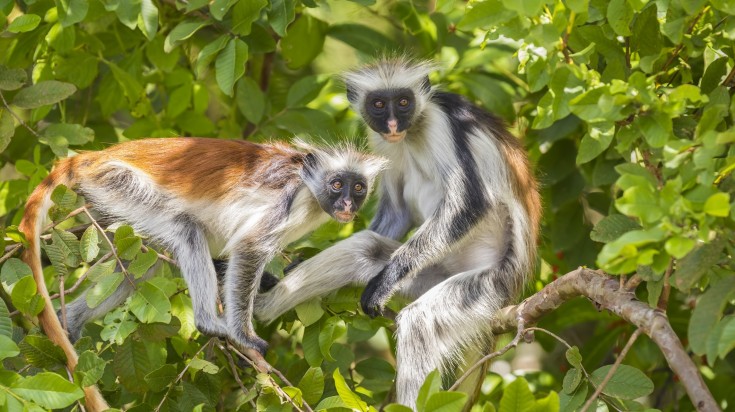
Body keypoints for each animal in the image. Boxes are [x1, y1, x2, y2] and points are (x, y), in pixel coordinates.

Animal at [18, 137, 386, 410]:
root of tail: (93, 157)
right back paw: (209, 322)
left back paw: (70, 322)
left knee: (143, 264)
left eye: (357, 188)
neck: (308, 185)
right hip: (116, 182)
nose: (347, 205)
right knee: (186, 229)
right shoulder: (287, 199)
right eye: (336, 184)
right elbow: (248, 248)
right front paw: (244, 337)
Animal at [256, 58, 544, 408]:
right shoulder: (381, 140)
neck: (412, 132)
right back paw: (258, 306)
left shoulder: (441, 123)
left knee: (420, 322)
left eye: (404, 102)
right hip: (430, 274)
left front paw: (385, 282)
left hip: (489, 283)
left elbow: (471, 202)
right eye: (379, 105)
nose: (393, 124)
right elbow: (396, 211)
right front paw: (295, 265)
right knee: (365, 248)